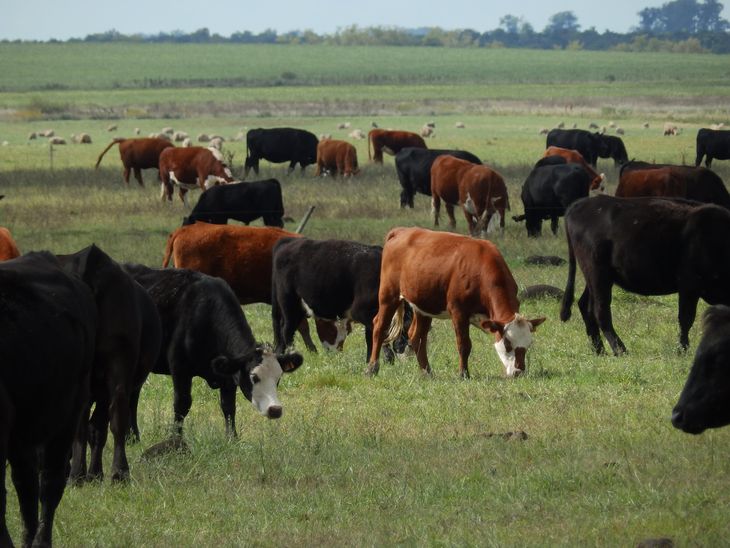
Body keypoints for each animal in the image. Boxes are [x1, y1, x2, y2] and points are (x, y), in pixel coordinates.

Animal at [57, 245, 161, 484]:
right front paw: (95, 473)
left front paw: (92, 473)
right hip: (119, 363)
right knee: (116, 414)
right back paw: (118, 472)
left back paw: (80, 474)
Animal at [123, 263, 303, 442]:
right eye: (254, 377)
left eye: (278, 378)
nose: (275, 409)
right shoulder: (179, 367)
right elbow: (182, 404)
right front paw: (176, 440)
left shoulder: (229, 373)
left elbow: (228, 406)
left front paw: (232, 439)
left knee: (133, 394)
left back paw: (133, 437)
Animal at [271, 238, 411, 362]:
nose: (402, 348)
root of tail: (288, 242)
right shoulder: (360, 311)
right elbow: (381, 332)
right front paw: (388, 359)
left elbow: (370, 339)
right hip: (289, 303)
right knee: (287, 330)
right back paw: (290, 354)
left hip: (297, 307)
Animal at [366, 227, 545, 378]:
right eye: (508, 344)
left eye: (528, 344)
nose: (518, 372)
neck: (480, 272)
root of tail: (401, 231)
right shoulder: (458, 312)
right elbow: (464, 344)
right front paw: (463, 374)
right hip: (389, 295)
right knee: (379, 327)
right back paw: (372, 368)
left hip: (423, 306)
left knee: (417, 336)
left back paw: (426, 372)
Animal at [561, 195, 730, 355]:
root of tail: (580, 205)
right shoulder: (689, 284)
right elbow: (686, 318)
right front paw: (682, 350)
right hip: (597, 273)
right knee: (600, 310)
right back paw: (620, 349)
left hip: (595, 277)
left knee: (585, 305)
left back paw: (599, 350)